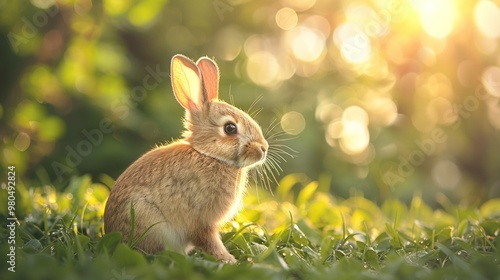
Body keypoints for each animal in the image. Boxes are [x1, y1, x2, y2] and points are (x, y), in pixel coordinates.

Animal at [102, 54, 270, 262]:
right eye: (230, 128)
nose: (263, 148)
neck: (209, 155)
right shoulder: (202, 221)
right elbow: (209, 240)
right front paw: (228, 260)